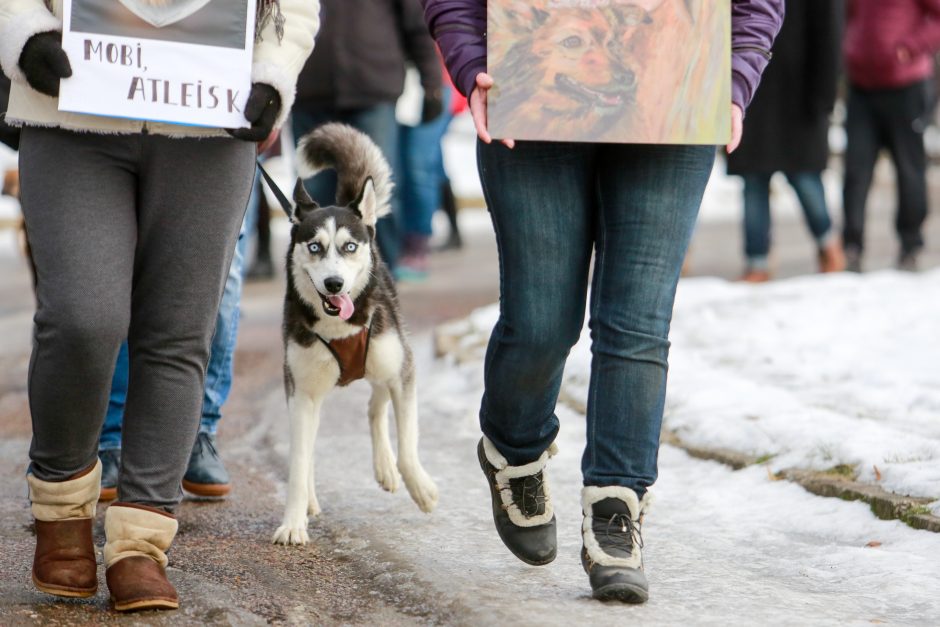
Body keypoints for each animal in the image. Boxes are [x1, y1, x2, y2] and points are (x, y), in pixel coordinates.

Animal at [272, 122, 440, 544]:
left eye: (349, 247)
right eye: (315, 247)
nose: (334, 284)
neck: (339, 326)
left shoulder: (402, 371)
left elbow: (408, 445)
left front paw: (421, 488)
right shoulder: (301, 391)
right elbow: (298, 461)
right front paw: (293, 522)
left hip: (384, 358)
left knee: (375, 404)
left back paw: (385, 467)